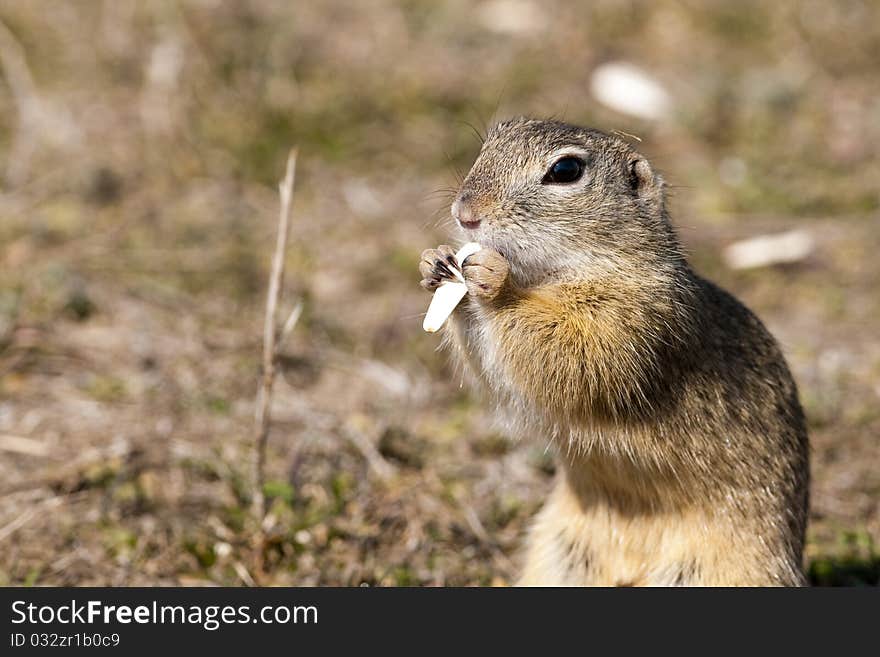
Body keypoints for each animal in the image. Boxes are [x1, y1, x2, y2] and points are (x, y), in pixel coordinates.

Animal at [420, 116, 812, 584]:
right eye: (495, 136)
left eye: (566, 170)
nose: (465, 213)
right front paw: (435, 259)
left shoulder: (634, 322)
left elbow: (573, 356)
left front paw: (495, 281)